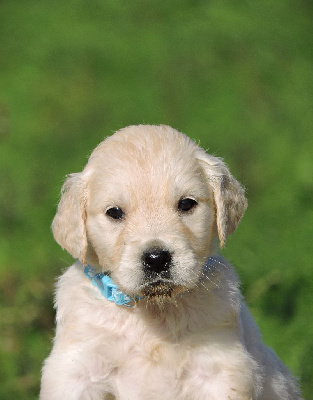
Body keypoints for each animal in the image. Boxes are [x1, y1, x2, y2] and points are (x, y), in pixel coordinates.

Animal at [40, 125, 302, 400]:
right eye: (114, 212)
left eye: (186, 203)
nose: (156, 259)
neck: (154, 311)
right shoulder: (77, 369)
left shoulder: (219, 368)